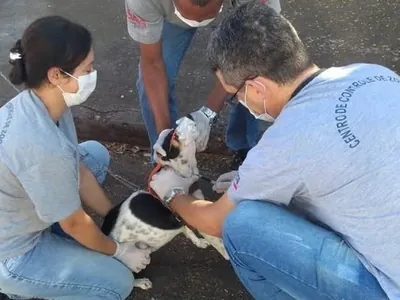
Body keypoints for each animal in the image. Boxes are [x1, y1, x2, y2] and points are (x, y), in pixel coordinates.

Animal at [100, 116, 228, 290]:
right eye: (175, 136)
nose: (189, 116)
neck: (183, 173)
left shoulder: (189, 209)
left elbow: (189, 231)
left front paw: (199, 242)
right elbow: (217, 242)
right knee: (129, 276)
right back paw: (140, 282)